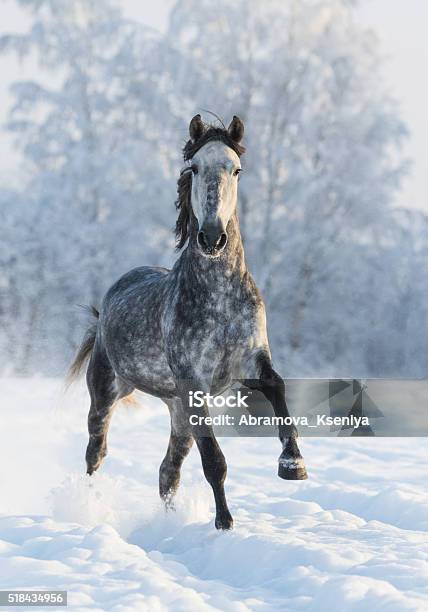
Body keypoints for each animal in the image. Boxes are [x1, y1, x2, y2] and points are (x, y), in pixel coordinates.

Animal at [68, 116, 306, 532]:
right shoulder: (193, 380)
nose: (212, 237)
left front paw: (293, 464)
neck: (219, 295)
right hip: (108, 393)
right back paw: (90, 505)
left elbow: (277, 386)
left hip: (178, 410)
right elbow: (214, 460)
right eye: (193, 168)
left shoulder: (249, 361)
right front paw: (225, 522)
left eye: (236, 169)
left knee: (168, 471)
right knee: (96, 452)